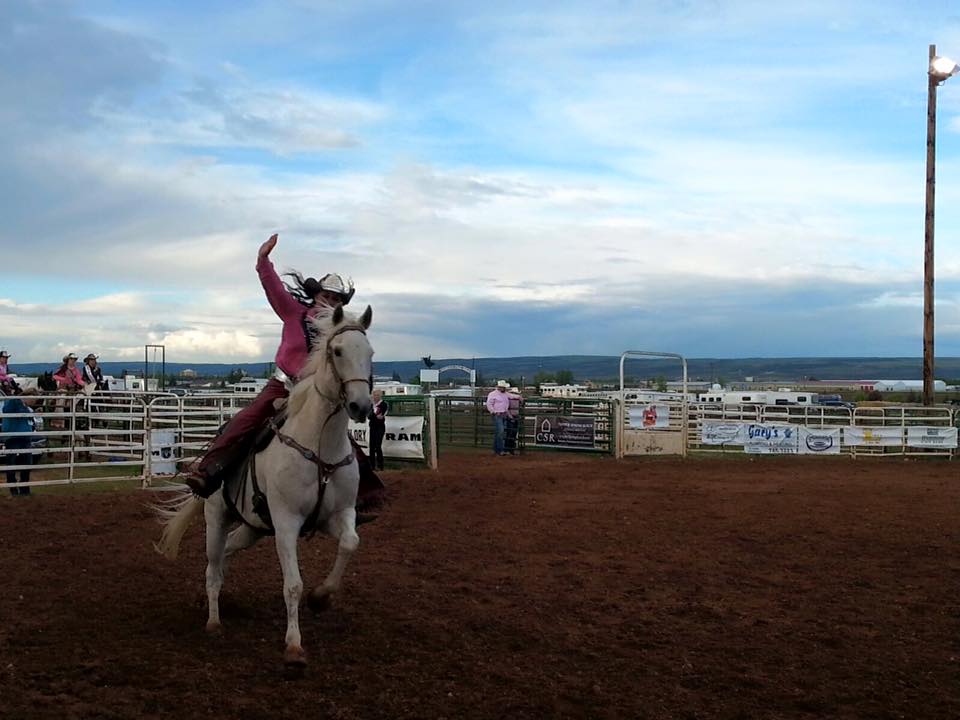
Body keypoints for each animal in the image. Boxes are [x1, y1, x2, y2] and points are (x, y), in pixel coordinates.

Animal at [156, 302, 374, 668]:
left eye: (370, 352)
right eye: (338, 351)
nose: (362, 406)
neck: (319, 445)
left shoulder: (338, 515)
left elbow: (351, 543)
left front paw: (321, 597)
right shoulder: (286, 522)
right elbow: (293, 585)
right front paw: (294, 648)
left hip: (253, 528)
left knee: (227, 551)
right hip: (216, 517)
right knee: (212, 564)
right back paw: (213, 619)